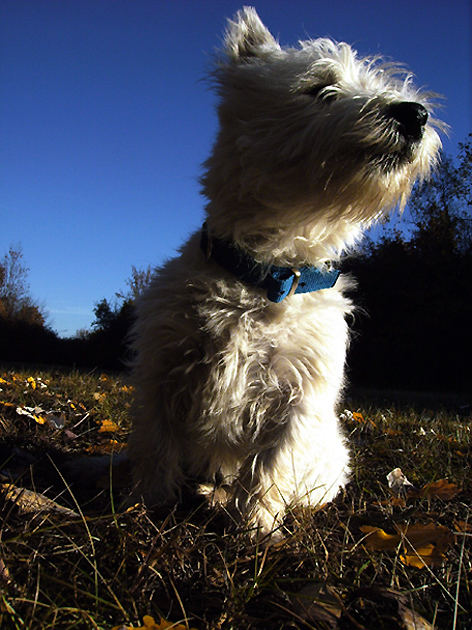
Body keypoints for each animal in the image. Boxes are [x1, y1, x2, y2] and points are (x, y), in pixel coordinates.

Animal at [128, 4, 438, 540]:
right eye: (320, 87)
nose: (414, 113)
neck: (268, 273)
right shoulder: (163, 367)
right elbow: (155, 444)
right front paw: (140, 506)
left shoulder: (299, 394)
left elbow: (274, 461)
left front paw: (254, 528)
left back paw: (221, 497)